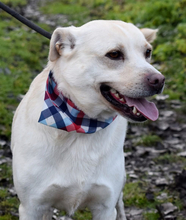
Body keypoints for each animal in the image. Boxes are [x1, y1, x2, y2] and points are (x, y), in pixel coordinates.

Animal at [11, 19, 164, 219]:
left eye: (147, 52)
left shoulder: (105, 207)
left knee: (121, 205)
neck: (83, 124)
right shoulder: (31, 207)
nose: (159, 80)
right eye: (114, 54)